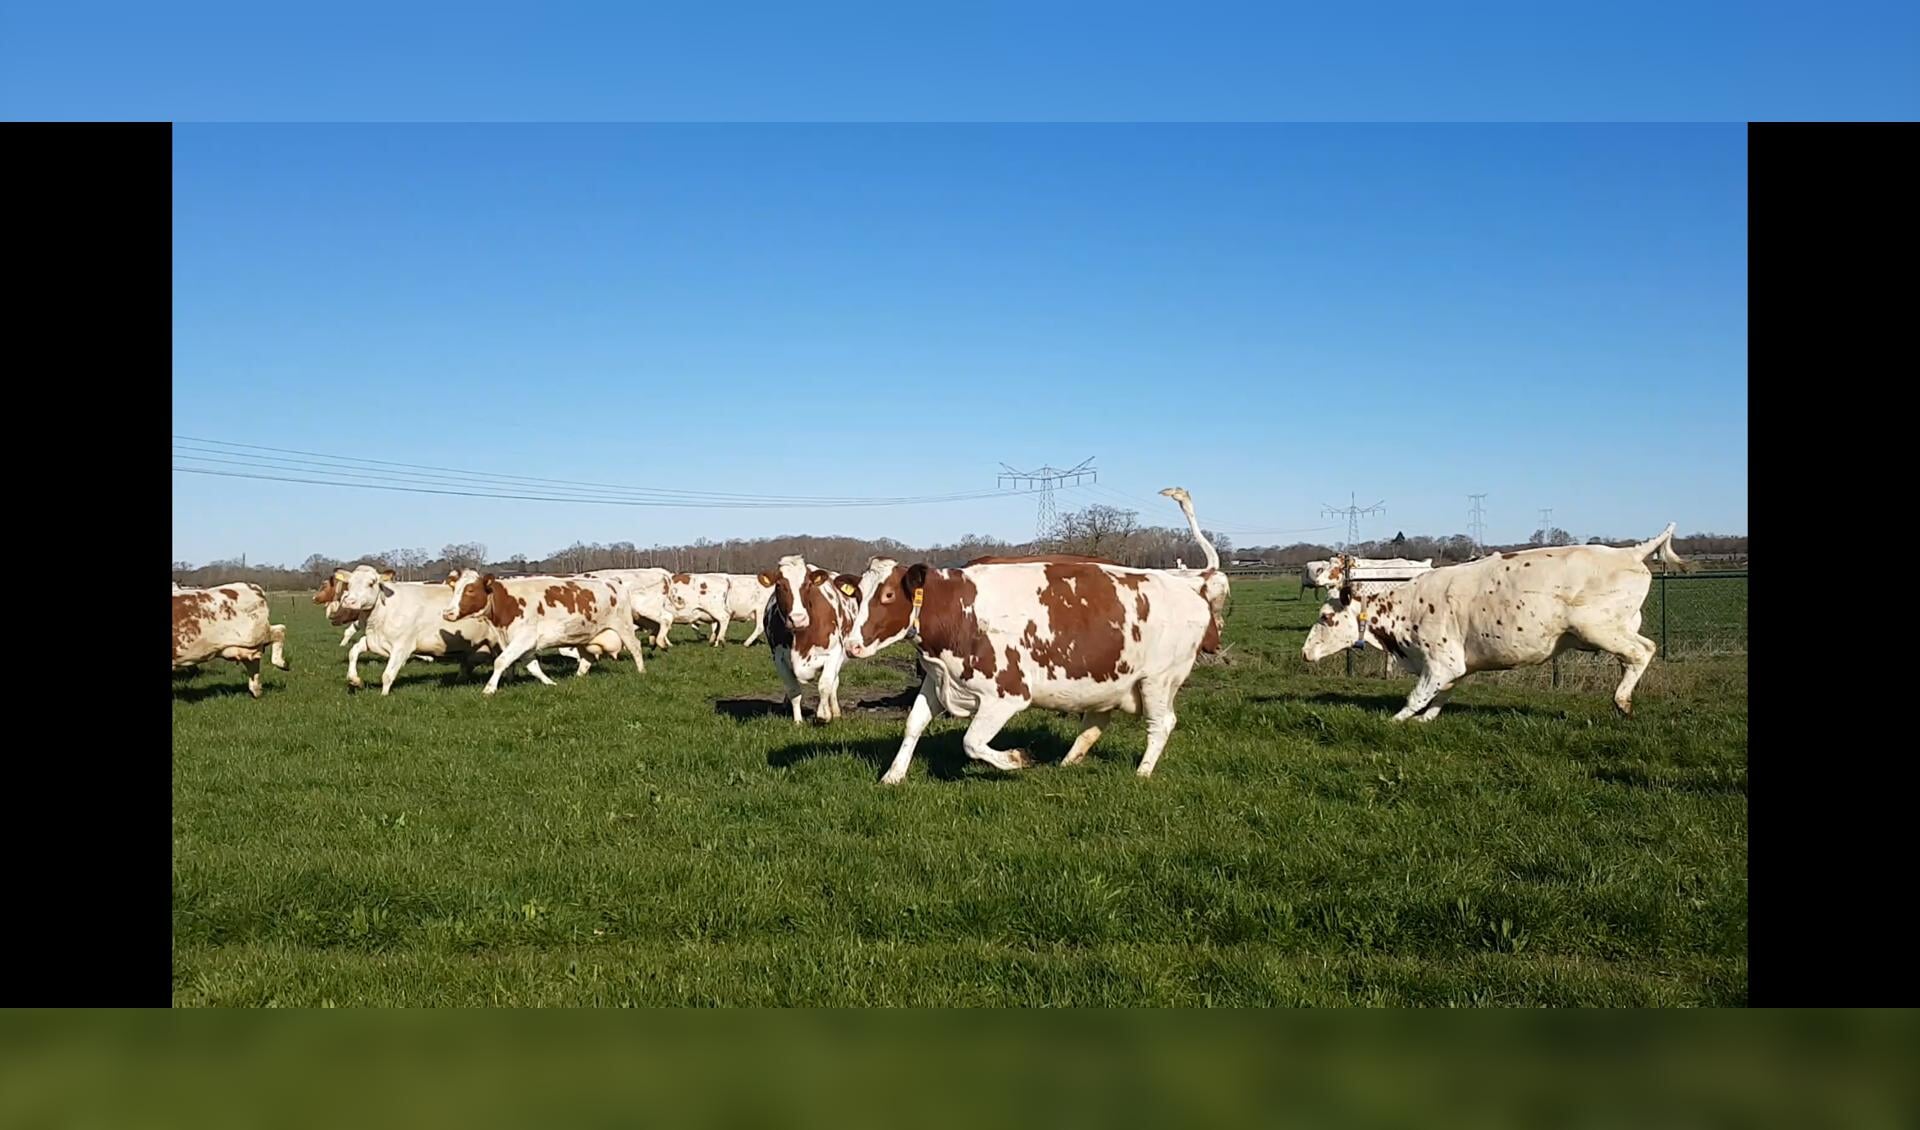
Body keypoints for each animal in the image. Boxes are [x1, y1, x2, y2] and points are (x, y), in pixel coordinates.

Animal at [443, 567, 648, 690]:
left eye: (470, 590)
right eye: (454, 589)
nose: (447, 613)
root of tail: (613, 581)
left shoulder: (524, 638)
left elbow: (501, 661)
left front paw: (489, 689)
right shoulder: (523, 644)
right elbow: (532, 666)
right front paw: (550, 682)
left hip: (623, 626)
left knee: (635, 647)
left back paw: (641, 672)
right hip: (586, 636)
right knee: (587, 658)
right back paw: (577, 677)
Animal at [760, 556, 860, 721]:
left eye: (807, 584)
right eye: (779, 585)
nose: (798, 619)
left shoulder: (834, 653)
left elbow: (825, 685)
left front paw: (823, 714)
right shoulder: (779, 658)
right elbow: (793, 690)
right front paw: (798, 721)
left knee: (834, 683)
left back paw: (835, 711)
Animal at [840, 556, 1213, 782]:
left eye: (888, 595)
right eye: (858, 594)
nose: (851, 645)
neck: (959, 610)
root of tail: (1191, 589)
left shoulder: (1007, 694)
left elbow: (971, 741)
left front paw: (1016, 759)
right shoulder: (938, 679)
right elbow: (913, 725)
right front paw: (893, 775)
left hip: (1157, 681)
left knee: (1162, 723)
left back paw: (1143, 772)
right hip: (1107, 681)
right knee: (1094, 723)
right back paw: (1068, 762)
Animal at [1297, 525, 1689, 717]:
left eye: (1326, 618)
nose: (1304, 653)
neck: (1405, 606)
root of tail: (1630, 552)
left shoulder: (1441, 661)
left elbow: (1416, 697)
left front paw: (1395, 721)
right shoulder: (1455, 666)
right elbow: (1440, 695)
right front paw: (1424, 719)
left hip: (1598, 628)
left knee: (1642, 651)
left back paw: (1621, 701)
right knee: (1634, 656)